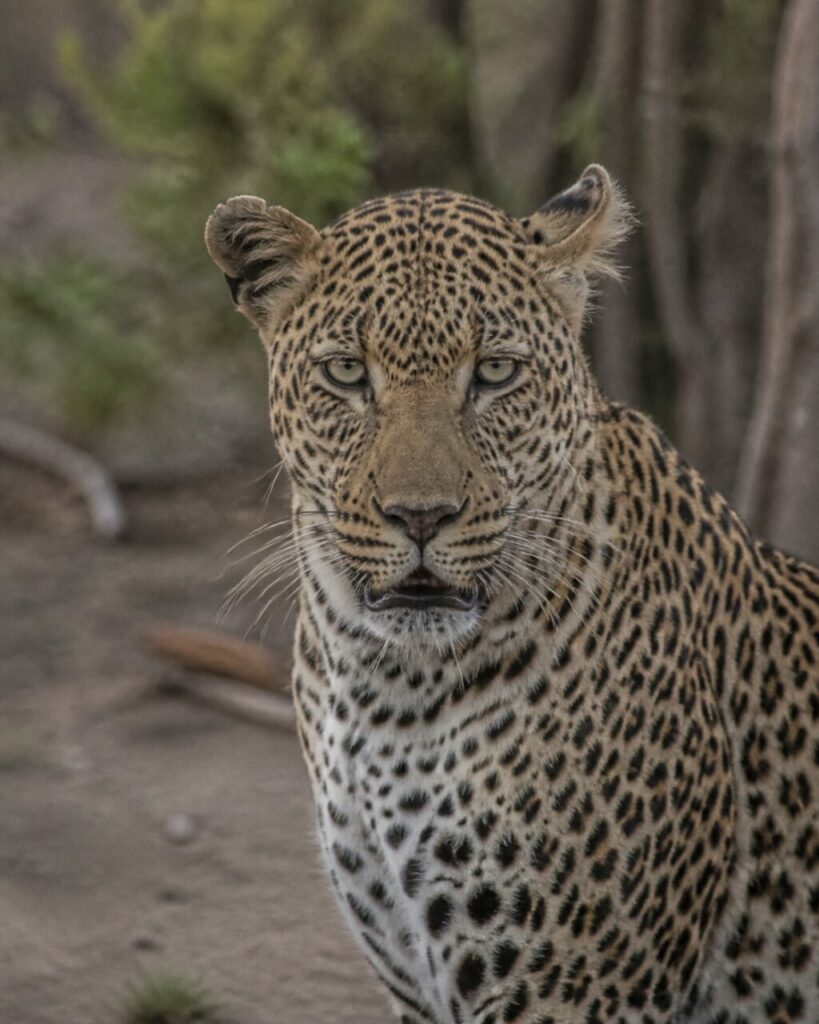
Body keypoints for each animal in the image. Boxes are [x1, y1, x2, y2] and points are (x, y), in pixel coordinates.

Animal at [204, 165, 819, 1024]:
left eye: (494, 372)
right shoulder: (411, 972)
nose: (419, 516)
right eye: (347, 373)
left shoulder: (573, 989)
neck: (384, 688)